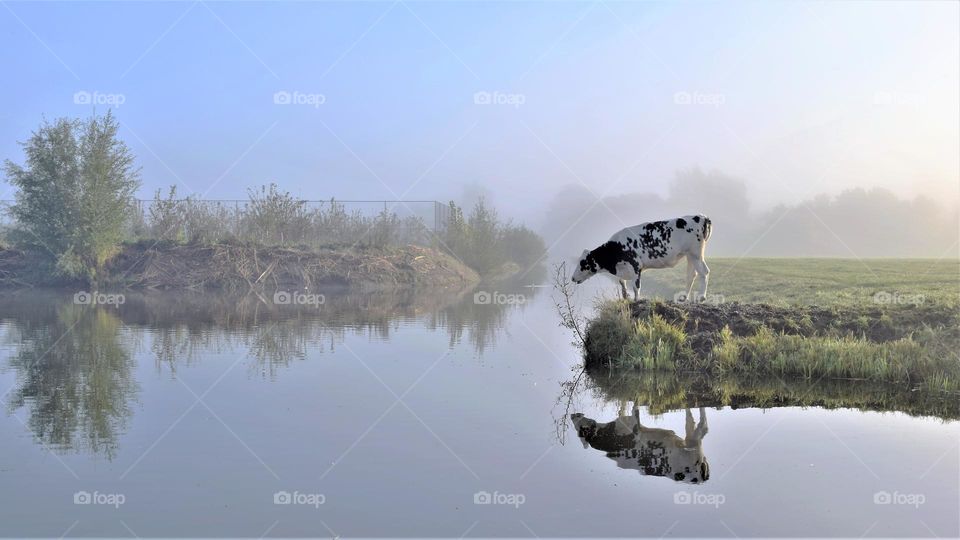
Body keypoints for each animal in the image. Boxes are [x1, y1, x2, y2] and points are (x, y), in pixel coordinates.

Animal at [568, 214, 712, 300]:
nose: (572, 278)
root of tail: (702, 217)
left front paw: (637, 300)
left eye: (582, 263)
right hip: (690, 255)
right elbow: (622, 282)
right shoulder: (623, 269)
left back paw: (701, 297)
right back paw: (684, 298)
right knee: (691, 275)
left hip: (696, 254)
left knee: (704, 272)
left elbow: (636, 287)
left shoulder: (636, 266)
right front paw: (625, 296)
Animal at [568, 408, 712, 484]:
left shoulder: (632, 424)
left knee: (701, 426)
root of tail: (702, 478)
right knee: (701, 426)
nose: (572, 415)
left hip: (692, 444)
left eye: (580, 427)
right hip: (692, 443)